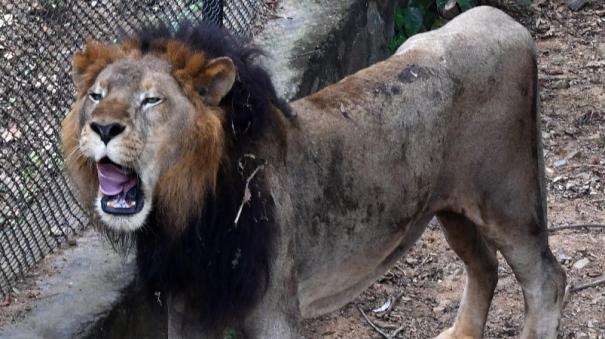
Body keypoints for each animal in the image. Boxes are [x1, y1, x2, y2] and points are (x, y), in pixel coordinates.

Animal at [62, 5, 568, 339]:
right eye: (96, 95)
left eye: (152, 100)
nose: (102, 127)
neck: (188, 212)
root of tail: (506, 22)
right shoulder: (189, 308)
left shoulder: (275, 313)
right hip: (452, 207)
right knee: (484, 266)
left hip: (509, 201)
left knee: (547, 281)